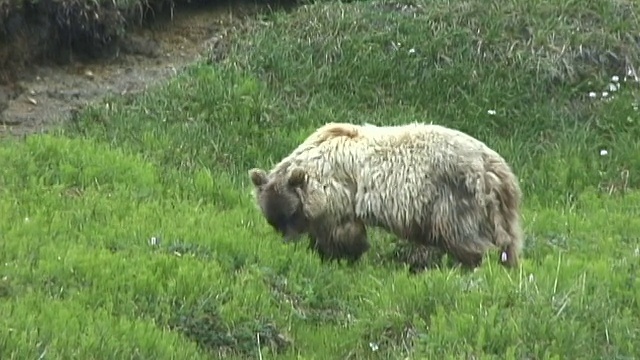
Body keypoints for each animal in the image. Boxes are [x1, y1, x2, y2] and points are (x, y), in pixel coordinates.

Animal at [249, 122, 524, 268]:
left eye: (292, 214)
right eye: (274, 220)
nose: (287, 241)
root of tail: (494, 169)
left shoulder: (340, 196)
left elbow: (343, 232)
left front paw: (343, 254)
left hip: (452, 200)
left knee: (463, 236)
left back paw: (474, 264)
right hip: (498, 209)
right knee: (507, 240)